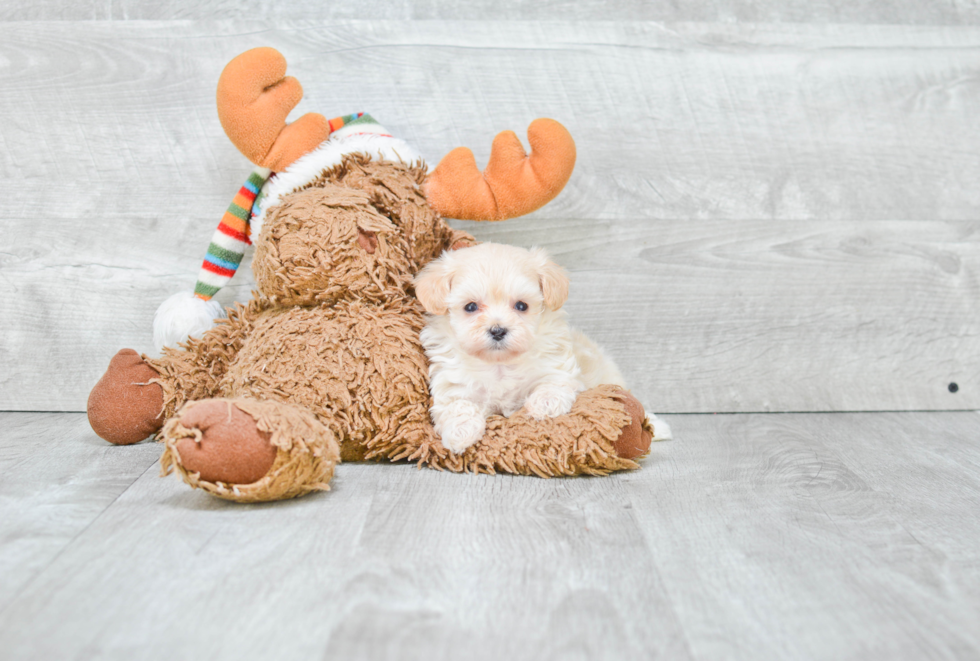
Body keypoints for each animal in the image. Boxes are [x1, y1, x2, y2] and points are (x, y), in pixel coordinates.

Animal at [414, 242, 628, 454]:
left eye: (521, 306)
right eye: (471, 307)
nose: (498, 330)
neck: (499, 364)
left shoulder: (556, 363)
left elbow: (554, 380)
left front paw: (546, 403)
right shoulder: (453, 385)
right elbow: (457, 406)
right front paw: (461, 431)